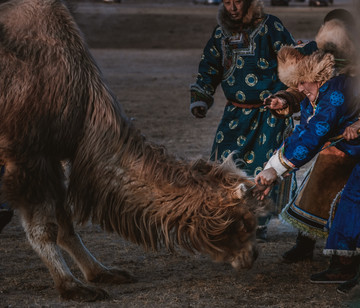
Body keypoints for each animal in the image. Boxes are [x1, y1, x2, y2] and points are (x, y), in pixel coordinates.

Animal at [0, 0, 270, 300]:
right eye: (243, 221)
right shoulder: (28, 154)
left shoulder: (51, 156)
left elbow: (66, 225)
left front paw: (102, 273)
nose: (253, 255)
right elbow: (44, 229)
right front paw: (72, 286)